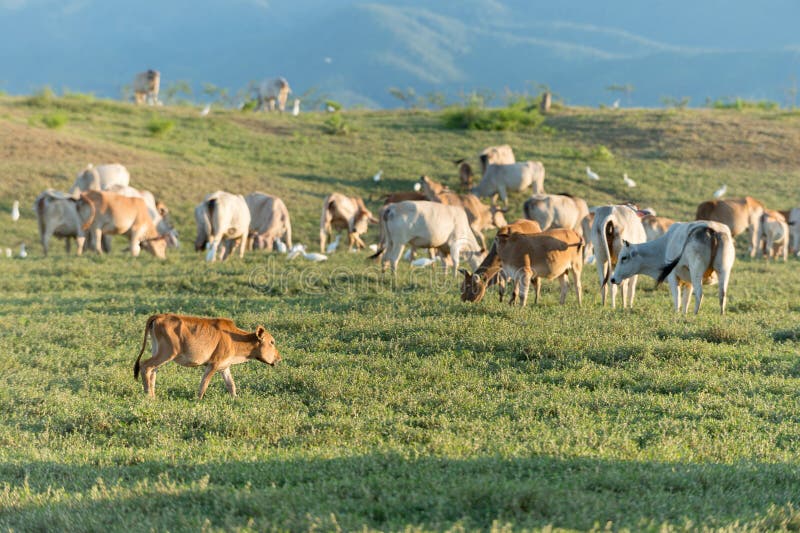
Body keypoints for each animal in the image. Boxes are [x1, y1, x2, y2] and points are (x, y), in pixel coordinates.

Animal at [133, 314, 281, 399]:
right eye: (272, 342)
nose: (279, 358)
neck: (234, 338)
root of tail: (159, 316)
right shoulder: (213, 364)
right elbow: (204, 384)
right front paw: (197, 401)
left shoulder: (224, 367)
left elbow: (231, 386)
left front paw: (236, 400)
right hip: (166, 353)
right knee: (145, 366)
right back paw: (148, 396)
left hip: (158, 353)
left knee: (152, 371)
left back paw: (153, 396)